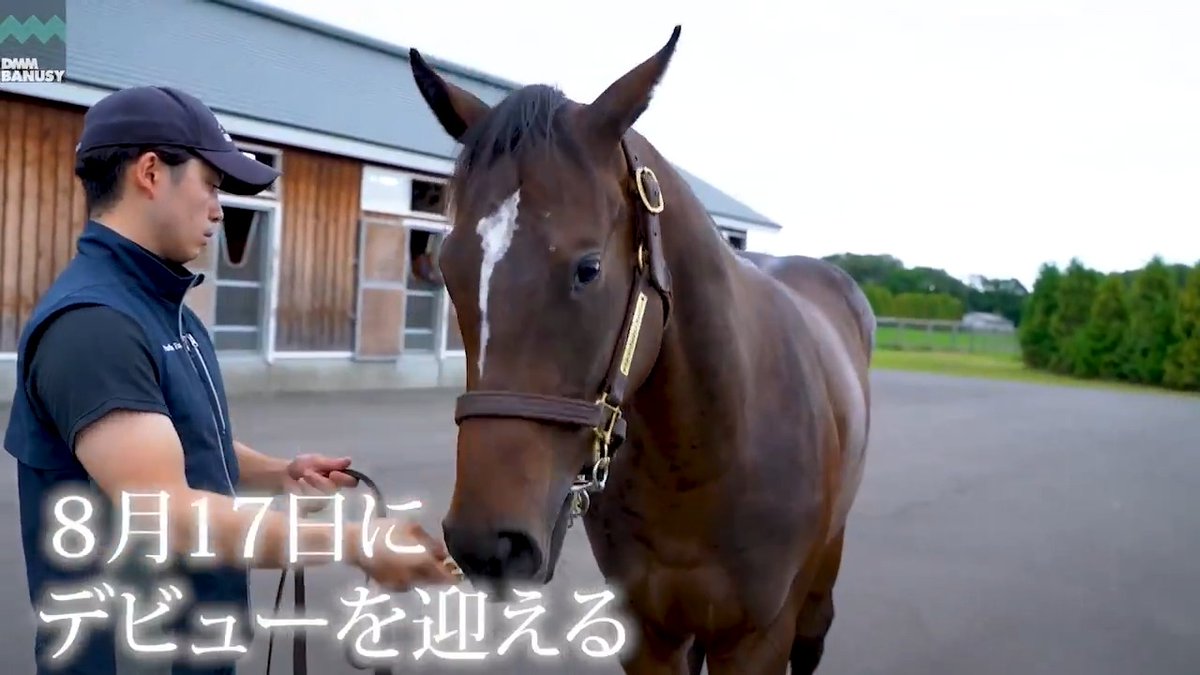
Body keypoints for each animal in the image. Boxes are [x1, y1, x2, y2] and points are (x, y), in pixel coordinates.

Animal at [406, 26, 875, 674]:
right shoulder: (649, 633)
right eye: (447, 269)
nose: (488, 545)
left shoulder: (758, 639)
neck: (705, 460)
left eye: (588, 268)